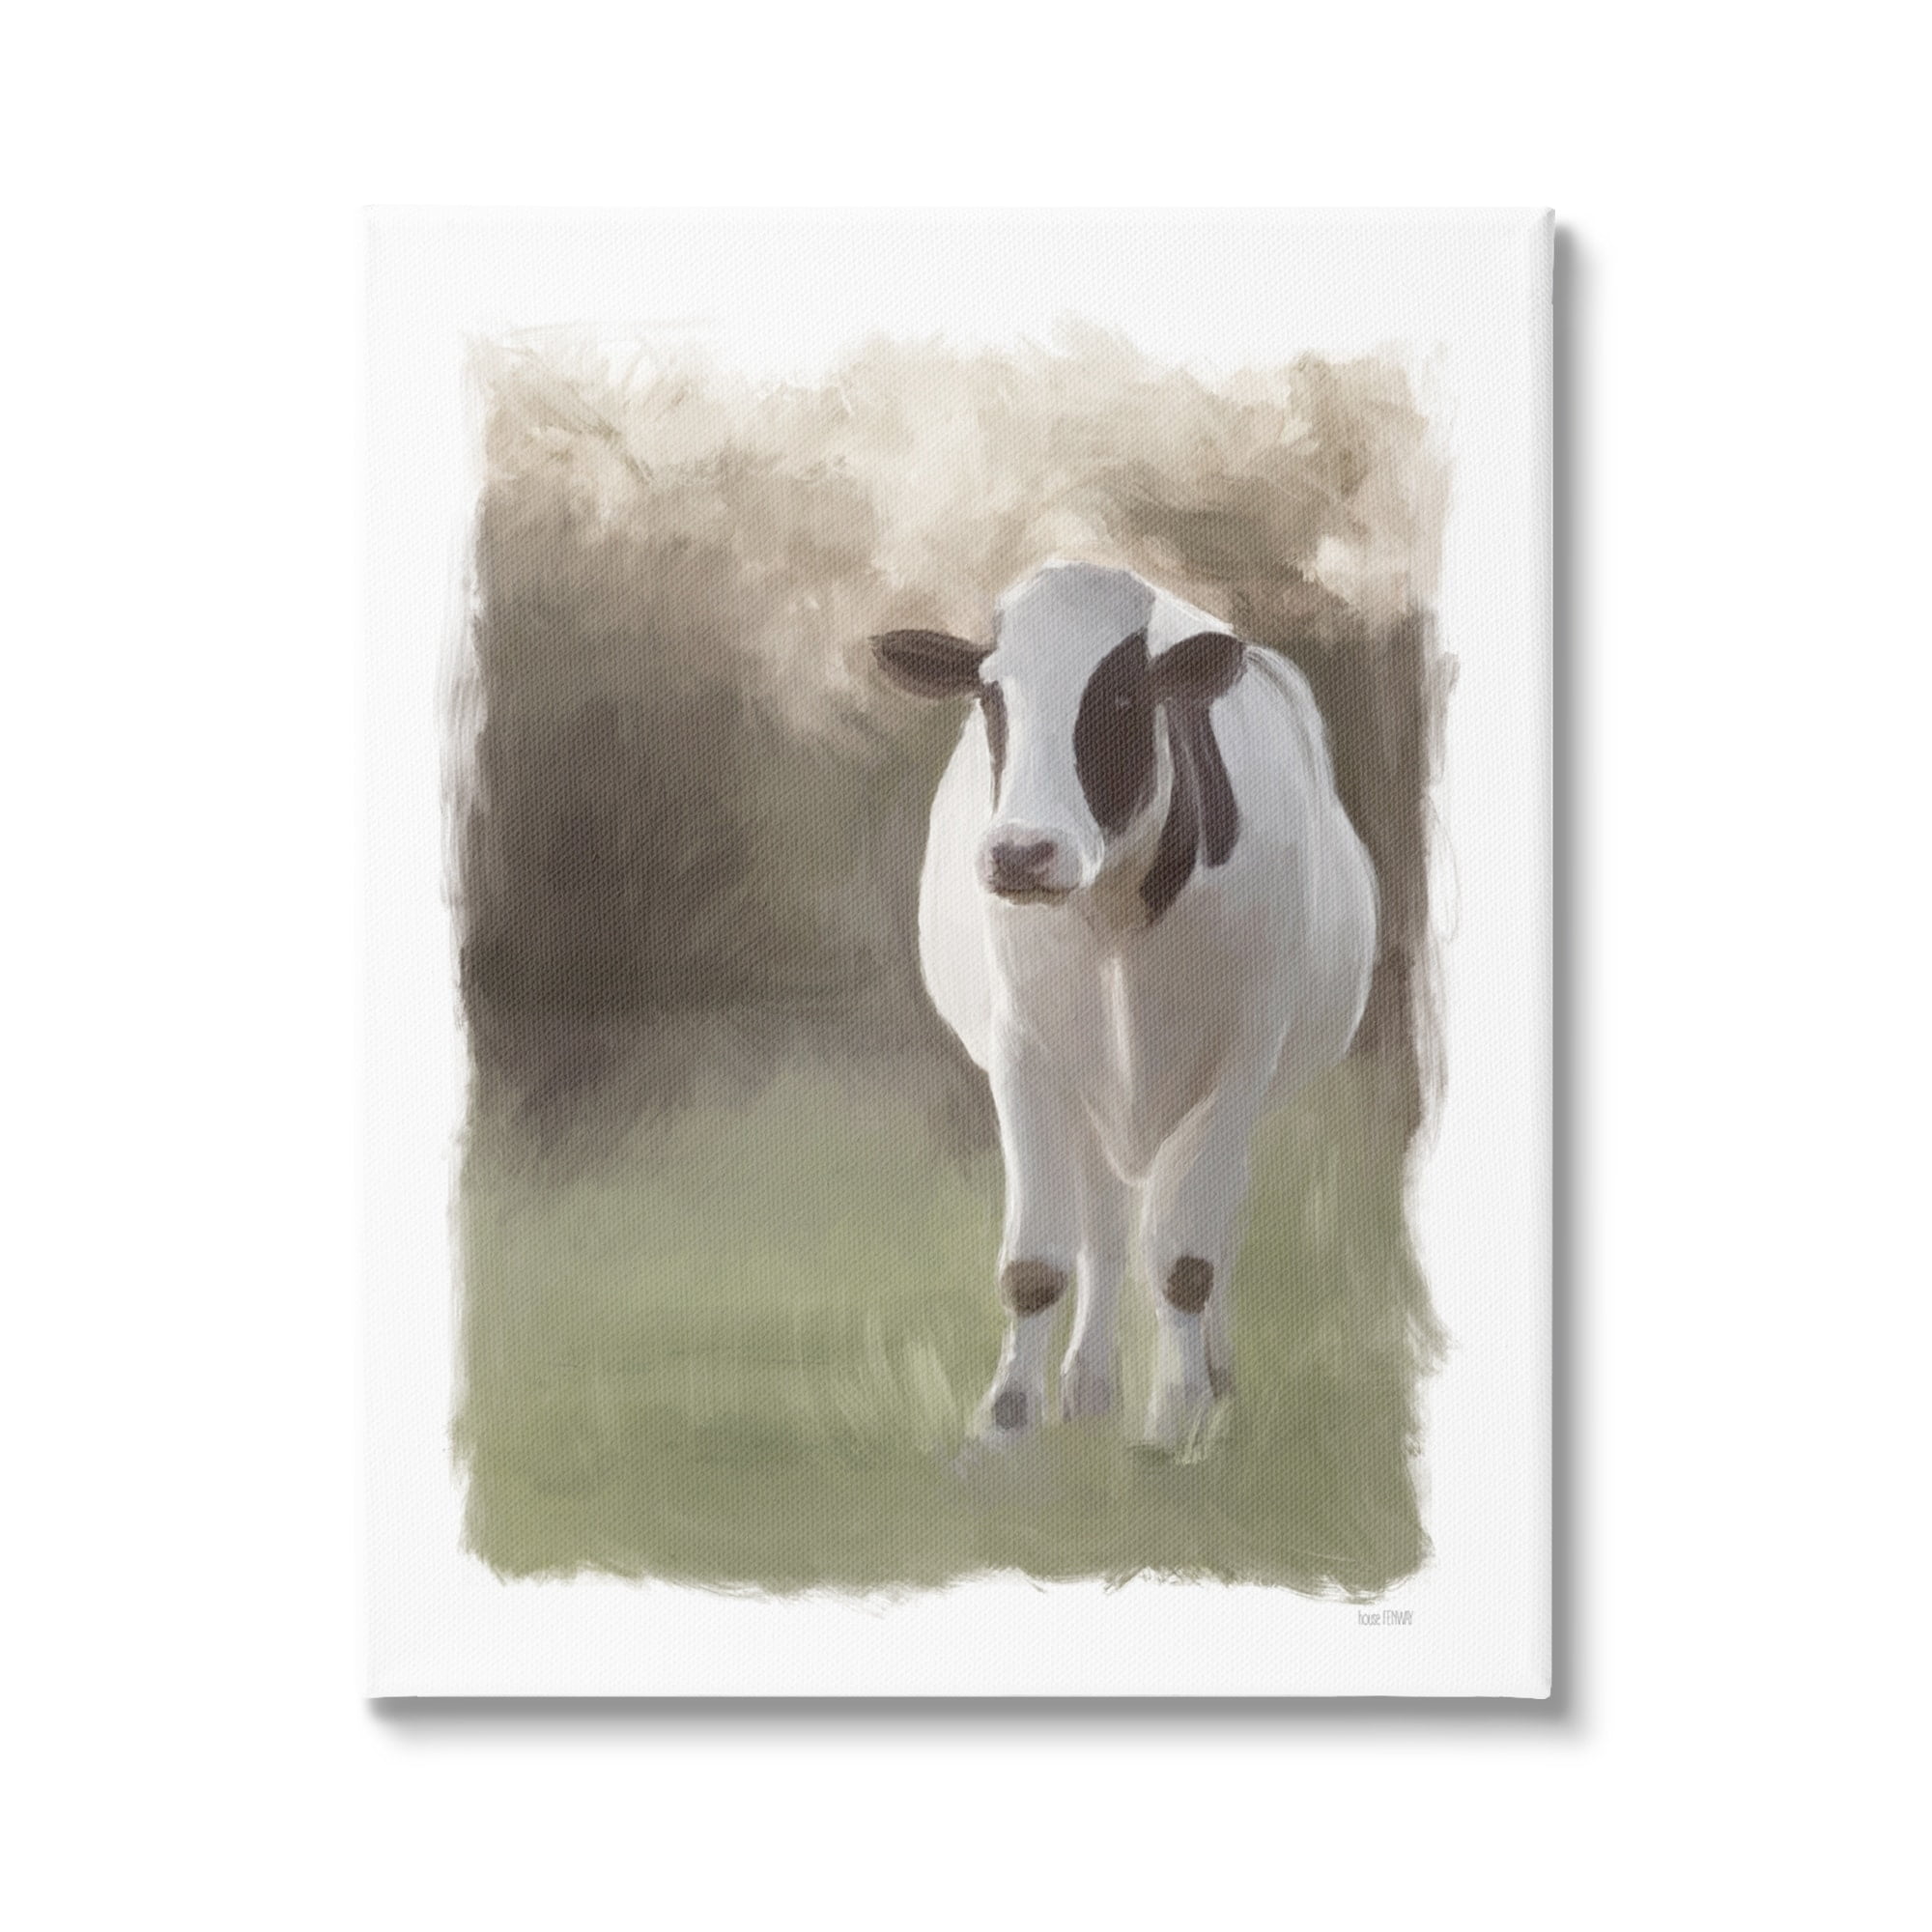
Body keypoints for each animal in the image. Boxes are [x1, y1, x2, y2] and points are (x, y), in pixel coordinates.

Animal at [873, 560, 1379, 1452]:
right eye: (991, 697)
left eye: (1118, 698)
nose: (1022, 854)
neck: (1113, 916)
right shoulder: (1022, 1054)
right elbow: (1038, 1259)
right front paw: (1006, 1422)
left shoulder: (1242, 1061)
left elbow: (1185, 1257)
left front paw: (1176, 1417)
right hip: (1094, 1095)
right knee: (1106, 1231)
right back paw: (1088, 1388)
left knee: (1208, 1232)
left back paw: (1212, 1377)